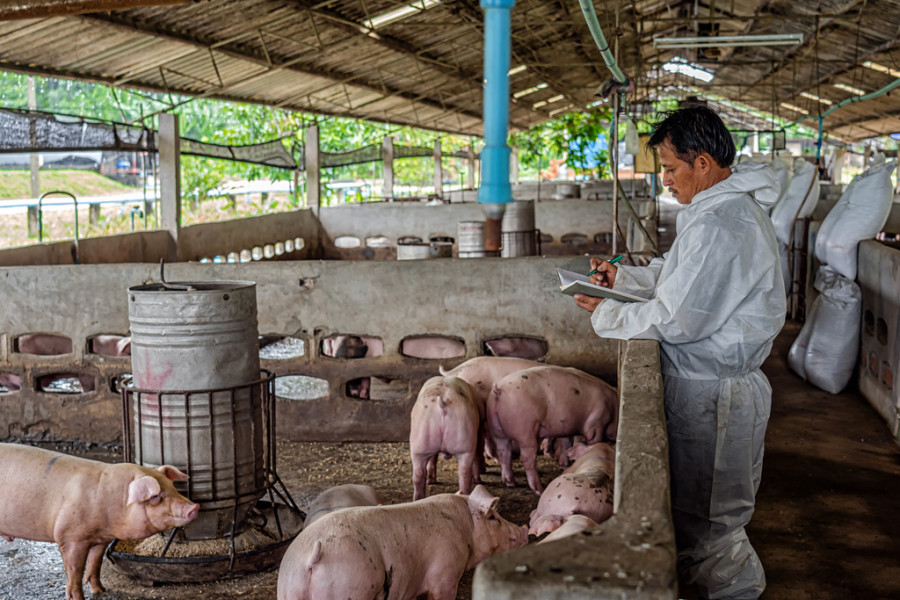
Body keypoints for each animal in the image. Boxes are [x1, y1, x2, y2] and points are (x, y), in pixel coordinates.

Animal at [0, 440, 199, 600]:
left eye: (173, 488)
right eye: (156, 496)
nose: (194, 506)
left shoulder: (101, 538)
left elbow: (95, 563)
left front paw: (101, 590)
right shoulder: (69, 537)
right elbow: (75, 571)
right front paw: (78, 597)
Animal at [276, 486, 528, 600]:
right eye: (493, 517)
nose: (524, 530)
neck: (464, 529)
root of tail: (313, 556)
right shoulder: (446, 573)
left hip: (288, 590)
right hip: (347, 587)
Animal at [486, 364, 620, 494]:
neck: (614, 408)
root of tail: (498, 390)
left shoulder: (567, 427)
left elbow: (567, 444)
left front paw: (564, 465)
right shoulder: (596, 423)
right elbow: (594, 441)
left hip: (497, 430)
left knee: (504, 453)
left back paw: (510, 483)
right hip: (525, 430)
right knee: (526, 458)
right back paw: (538, 489)